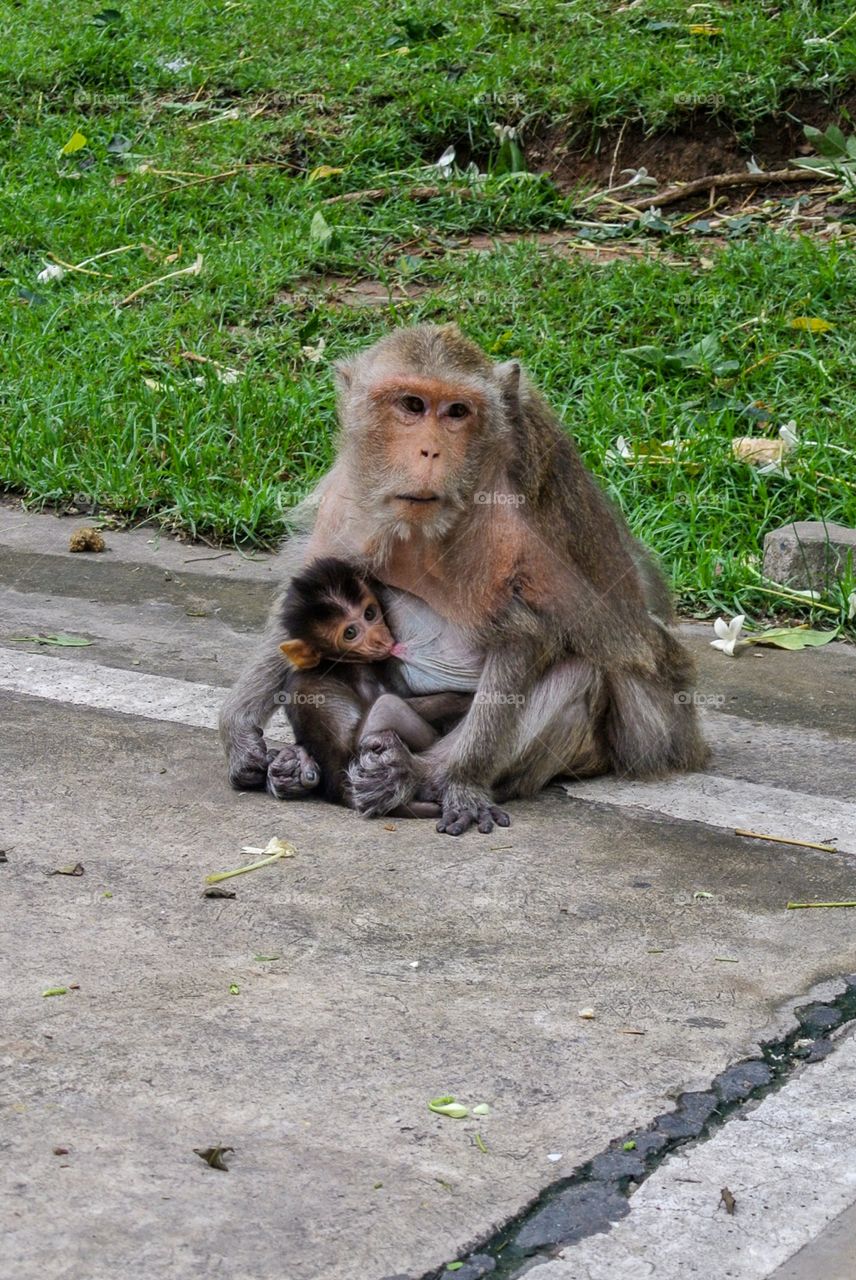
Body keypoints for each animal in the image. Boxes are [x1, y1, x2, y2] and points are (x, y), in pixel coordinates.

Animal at [275, 558, 468, 814]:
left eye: (369, 613)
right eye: (350, 633)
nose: (380, 638)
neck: (336, 661)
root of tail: (338, 788)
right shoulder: (361, 674)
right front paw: (463, 699)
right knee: (387, 706)